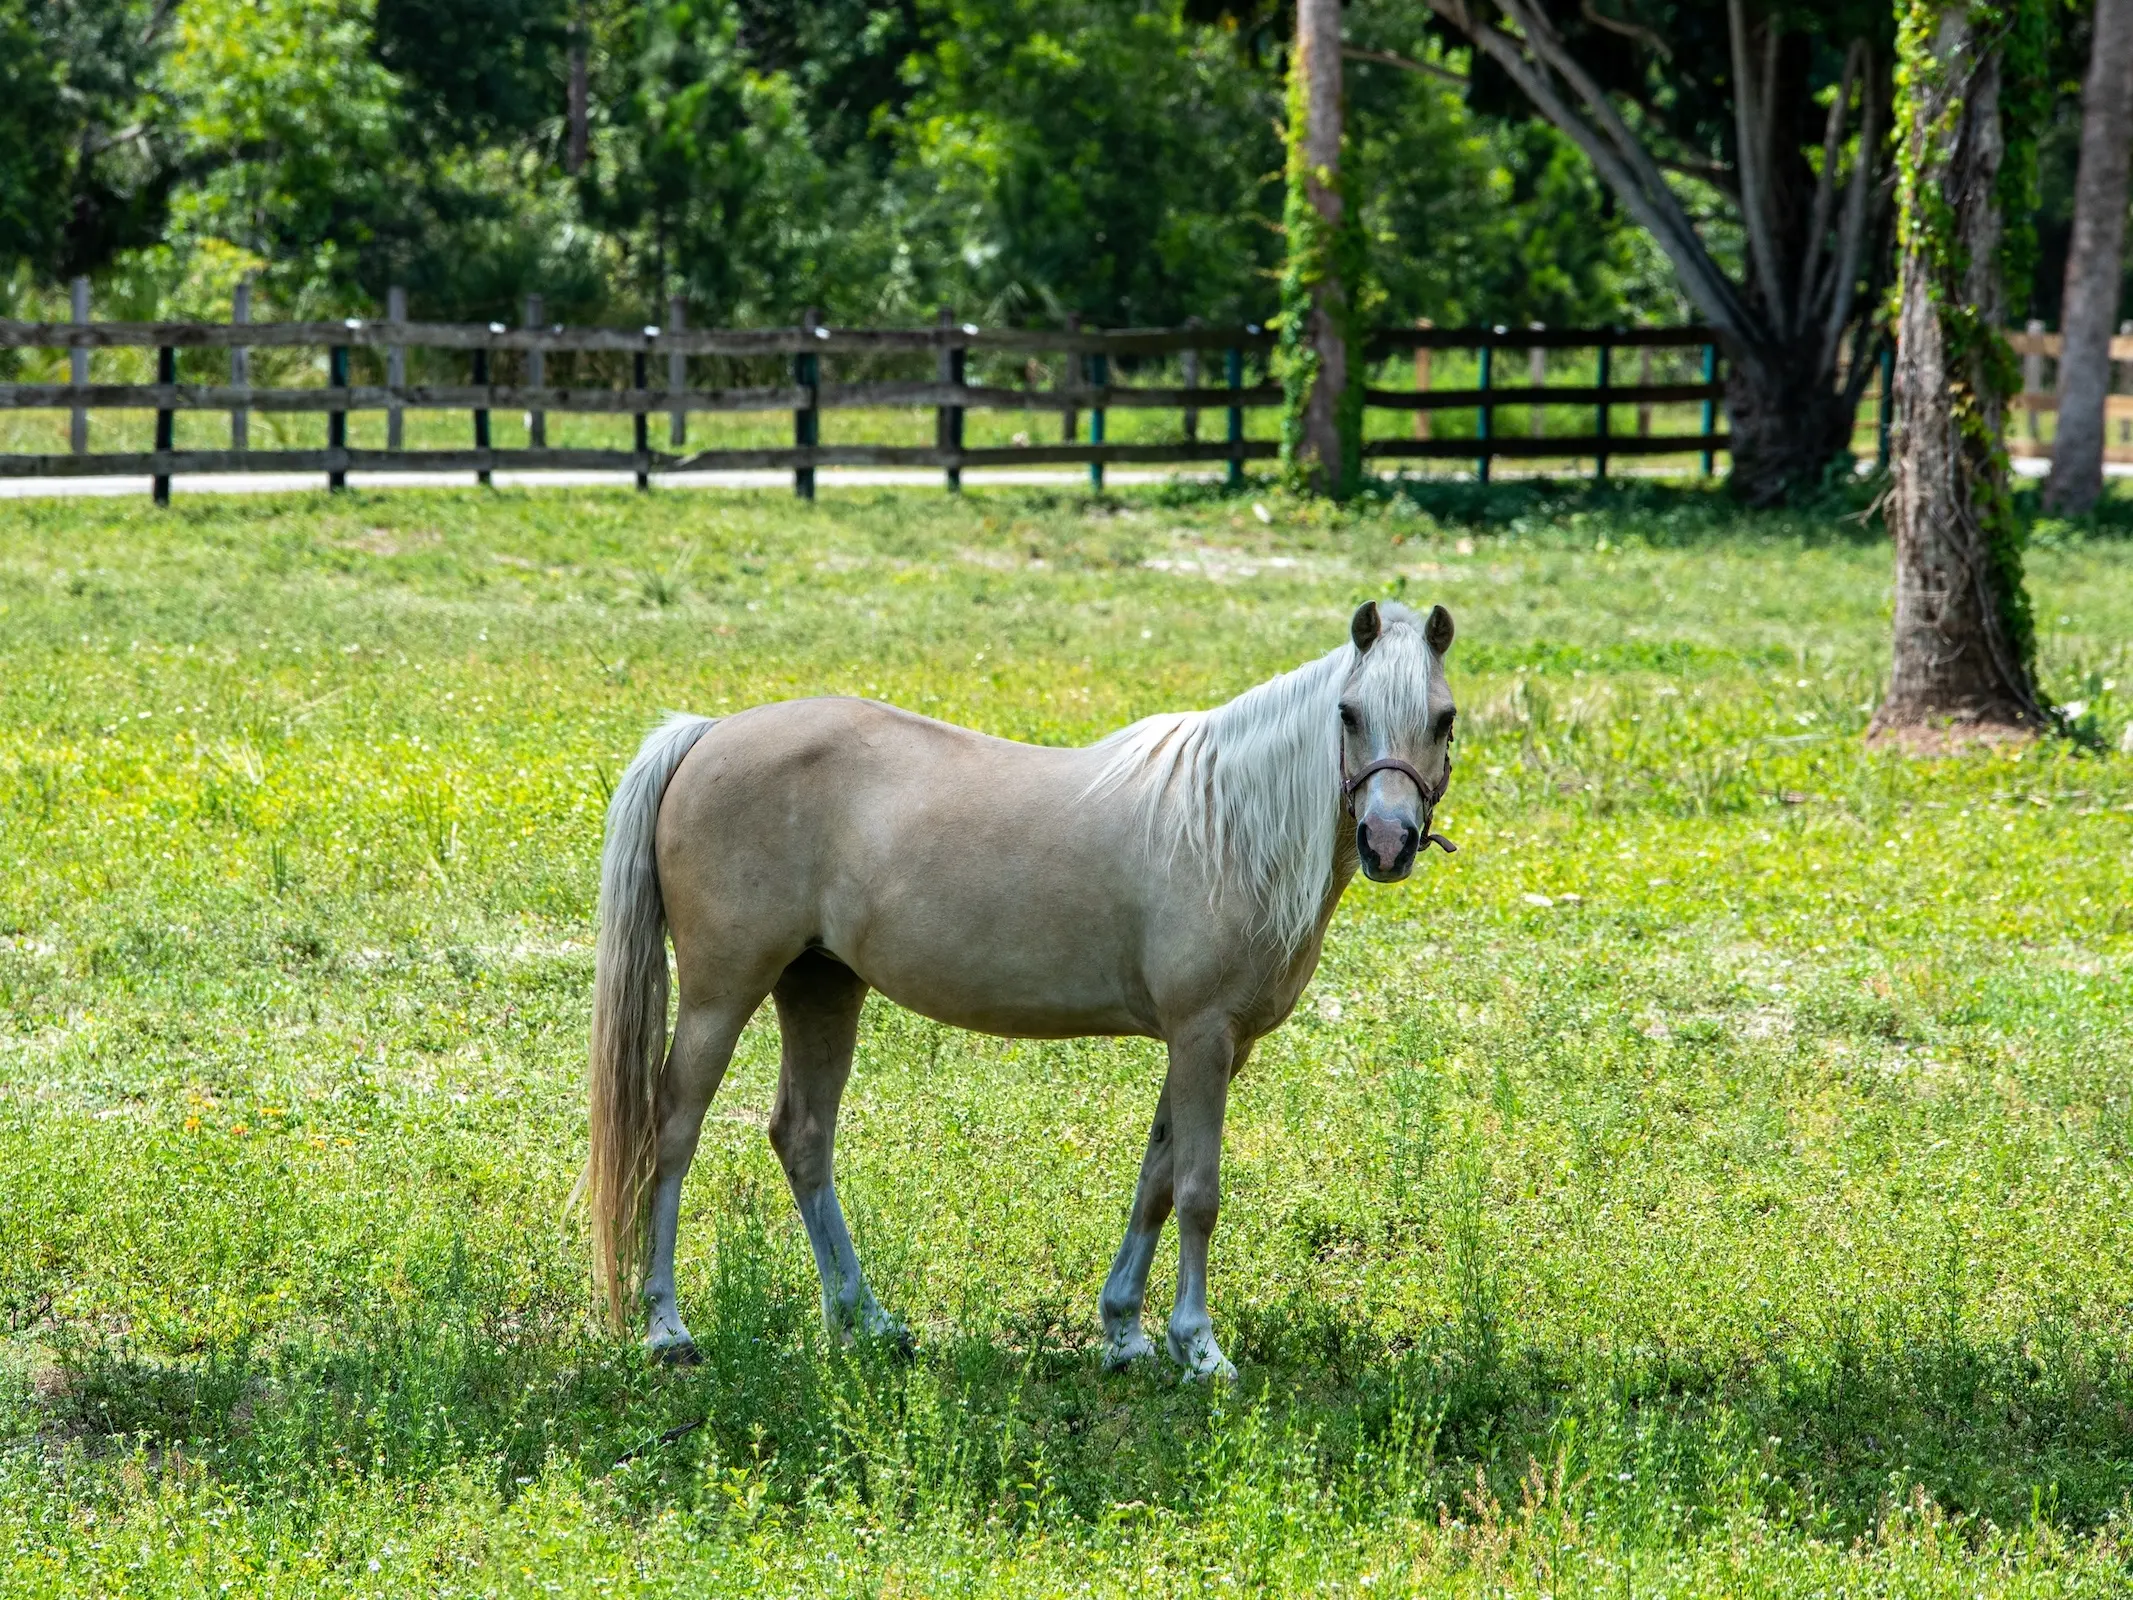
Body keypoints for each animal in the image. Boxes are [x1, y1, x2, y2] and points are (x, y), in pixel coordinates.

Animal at [588, 601, 1450, 1382]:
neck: (1223, 826)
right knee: (671, 1132)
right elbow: (1198, 1191)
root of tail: (707, 733)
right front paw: (1199, 1348)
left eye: (1442, 719)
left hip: (821, 987)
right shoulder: (1202, 1037)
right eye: (1348, 713)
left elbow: (1155, 1180)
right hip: (720, 994)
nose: (1387, 842)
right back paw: (667, 1329)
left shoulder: (1205, 1048)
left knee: (802, 1138)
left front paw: (1125, 1335)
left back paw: (868, 1322)